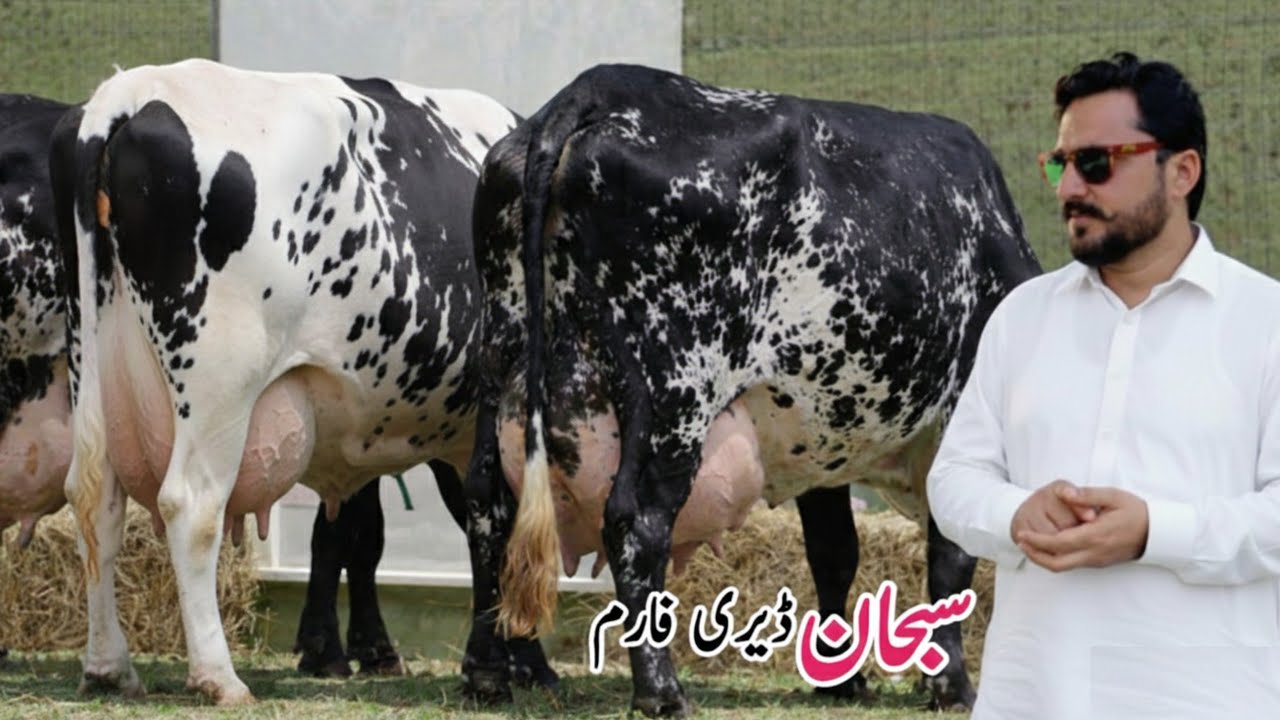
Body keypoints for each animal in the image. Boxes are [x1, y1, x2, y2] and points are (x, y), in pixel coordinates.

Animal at [48, 59, 555, 704]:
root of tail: (132, 92)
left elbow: (362, 530)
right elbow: (495, 518)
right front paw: (514, 665)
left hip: (91, 361)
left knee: (96, 500)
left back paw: (108, 665)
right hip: (219, 384)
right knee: (190, 505)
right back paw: (219, 676)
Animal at [460, 64, 1042, 716]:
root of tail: (596, 88)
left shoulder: (821, 440)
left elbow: (835, 552)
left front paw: (841, 678)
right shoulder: (954, 417)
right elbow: (949, 554)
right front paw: (951, 684)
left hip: (501, 366)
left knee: (487, 505)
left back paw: (487, 674)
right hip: (676, 392)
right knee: (637, 522)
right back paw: (661, 691)